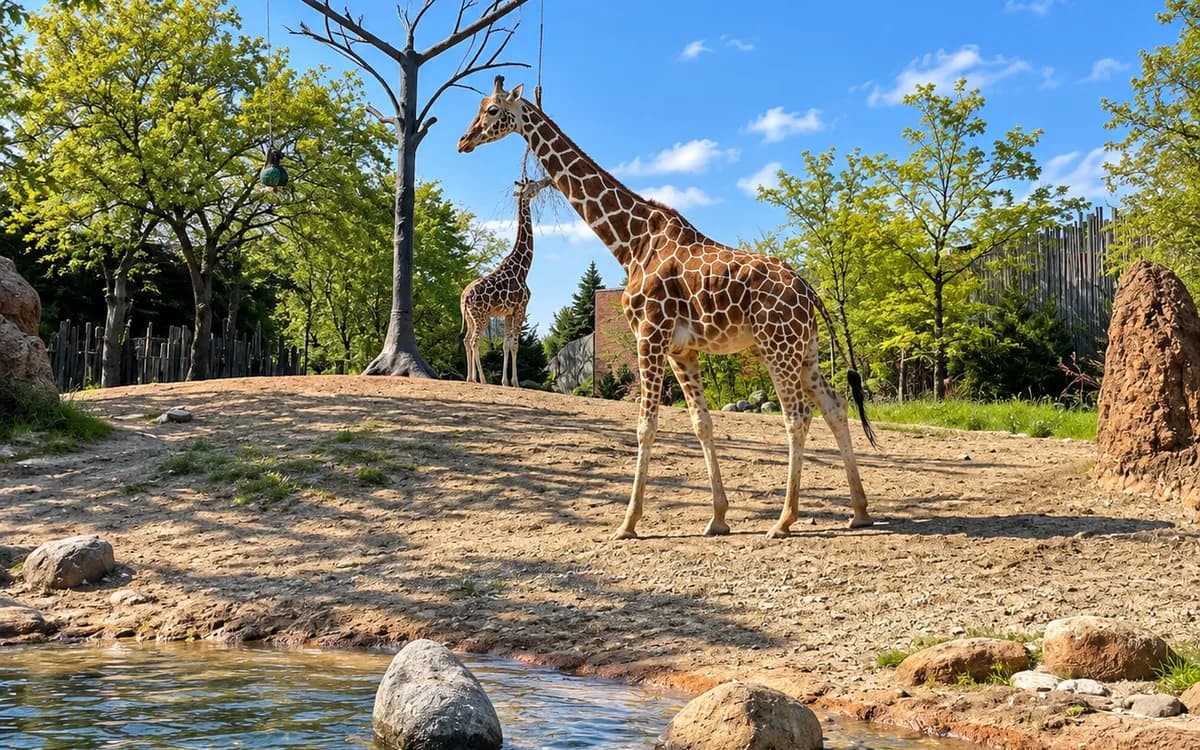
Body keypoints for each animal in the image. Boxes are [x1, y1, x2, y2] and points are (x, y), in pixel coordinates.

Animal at [460, 175, 554, 387]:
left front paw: (505, 381)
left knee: (466, 340)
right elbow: (515, 345)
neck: (523, 267)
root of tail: (464, 297)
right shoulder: (521, 308)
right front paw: (516, 382)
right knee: (474, 341)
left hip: (470, 317)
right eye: (533, 184)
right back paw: (482, 379)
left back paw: (470, 378)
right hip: (482, 315)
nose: (547, 180)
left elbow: (505, 344)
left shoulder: (508, 313)